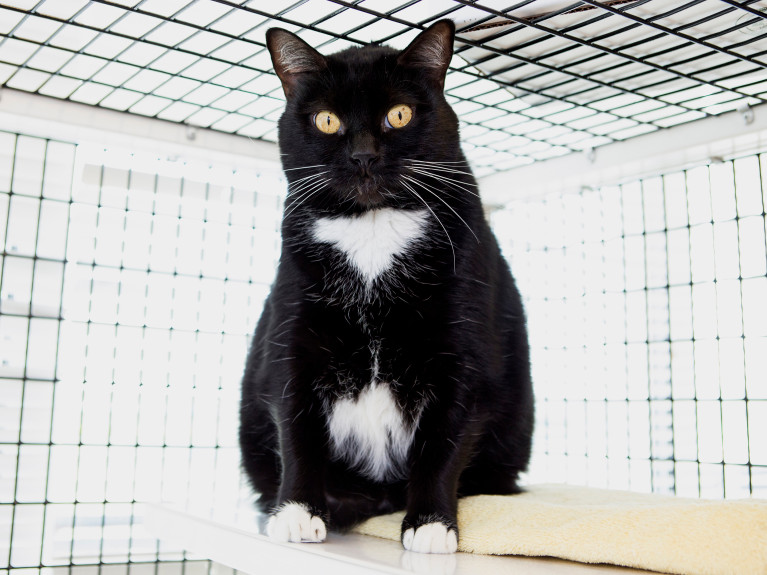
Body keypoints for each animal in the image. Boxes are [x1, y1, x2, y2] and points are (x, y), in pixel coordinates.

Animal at [240, 20, 536, 556]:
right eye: (327, 121)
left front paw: (431, 524)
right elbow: (296, 428)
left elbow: (444, 441)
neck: (373, 230)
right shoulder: (293, 338)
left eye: (398, 114)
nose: (363, 155)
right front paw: (297, 513)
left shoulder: (463, 353)